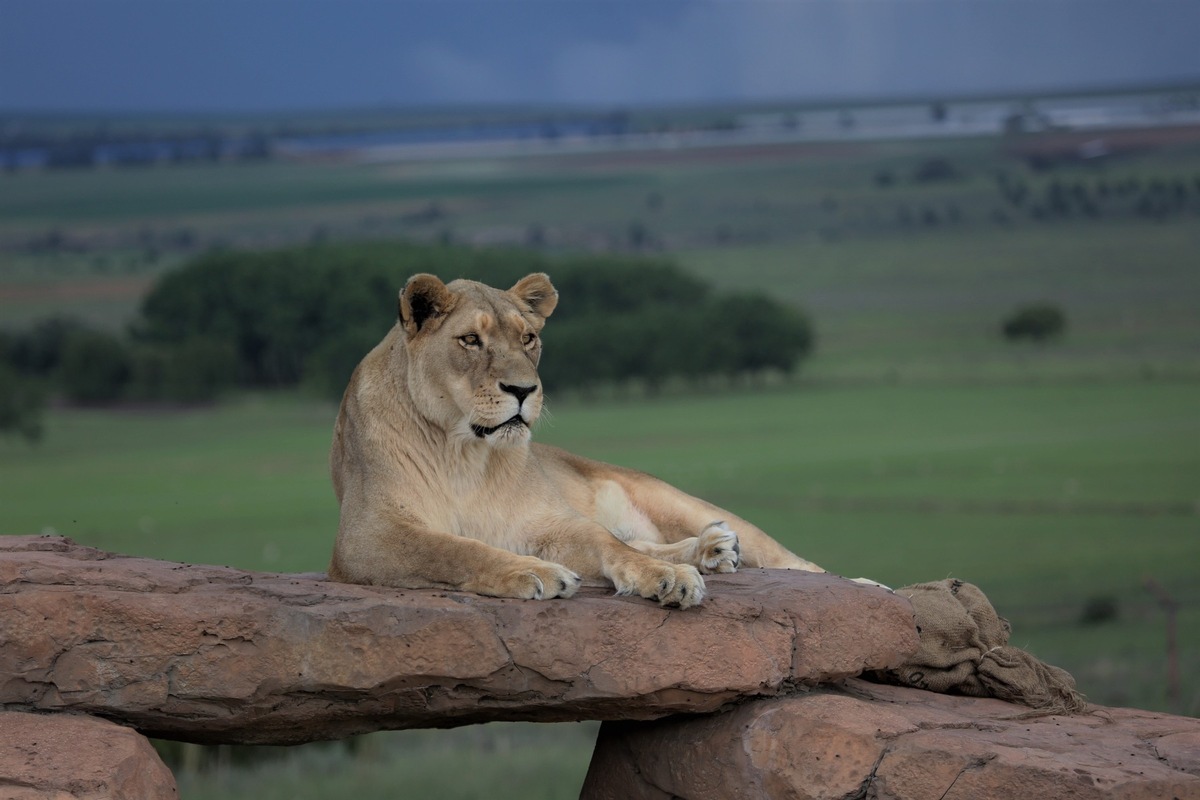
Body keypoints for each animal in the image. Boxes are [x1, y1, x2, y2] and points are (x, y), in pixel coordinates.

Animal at [333, 272, 830, 609]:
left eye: (528, 338)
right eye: (470, 340)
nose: (523, 390)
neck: (464, 451)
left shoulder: (547, 522)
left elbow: (606, 542)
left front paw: (667, 576)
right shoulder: (365, 537)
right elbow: (454, 548)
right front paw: (533, 571)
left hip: (675, 500)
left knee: (800, 565)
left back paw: (716, 549)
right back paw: (712, 550)